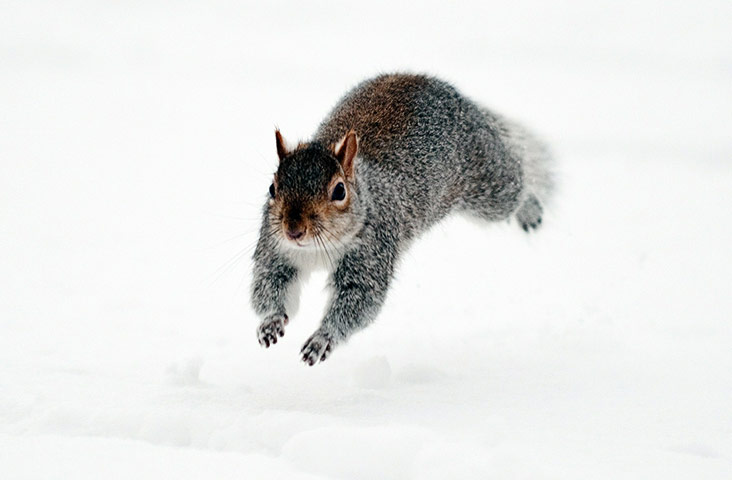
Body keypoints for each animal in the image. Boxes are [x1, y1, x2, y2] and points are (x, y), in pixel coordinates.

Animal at [251, 73, 553, 365]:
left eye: (339, 191)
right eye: (272, 188)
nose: (293, 230)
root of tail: (463, 101)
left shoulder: (372, 250)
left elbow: (360, 301)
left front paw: (323, 339)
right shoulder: (276, 251)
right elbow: (268, 285)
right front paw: (270, 322)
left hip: (488, 186)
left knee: (516, 183)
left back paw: (530, 208)